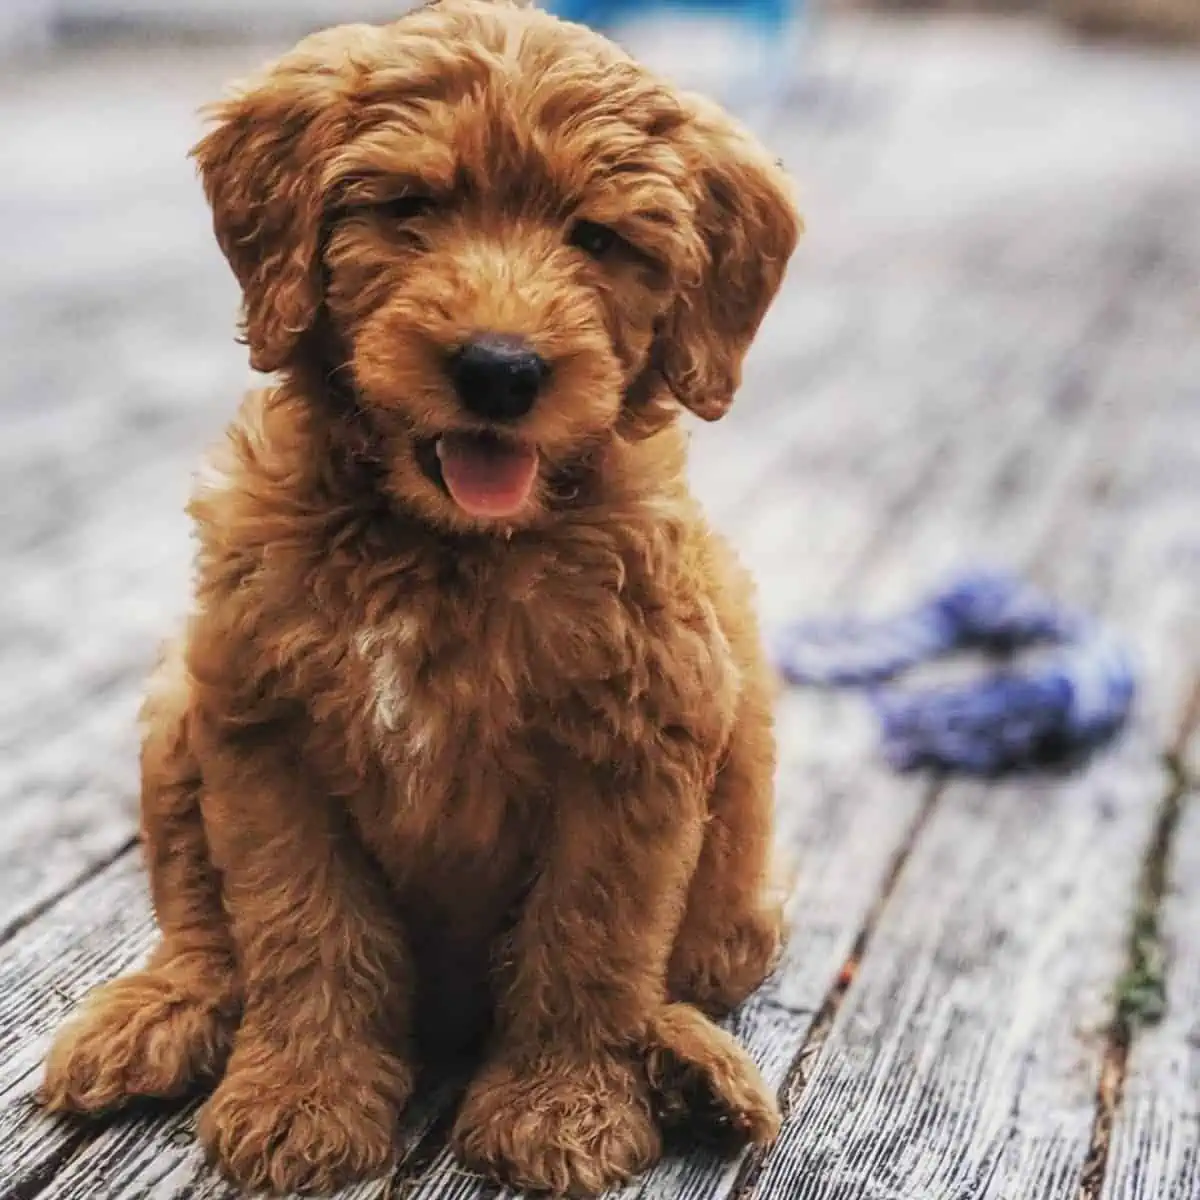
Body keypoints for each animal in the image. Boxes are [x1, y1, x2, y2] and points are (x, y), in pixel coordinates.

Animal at [37, 4, 801, 1195]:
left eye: (596, 239)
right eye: (410, 209)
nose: (500, 369)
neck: (445, 549)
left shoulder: (638, 749)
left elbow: (591, 940)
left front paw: (561, 1110)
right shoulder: (262, 733)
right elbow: (302, 927)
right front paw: (302, 1099)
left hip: (740, 814)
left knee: (694, 966)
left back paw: (688, 1063)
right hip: (177, 710)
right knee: (203, 930)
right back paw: (156, 1014)